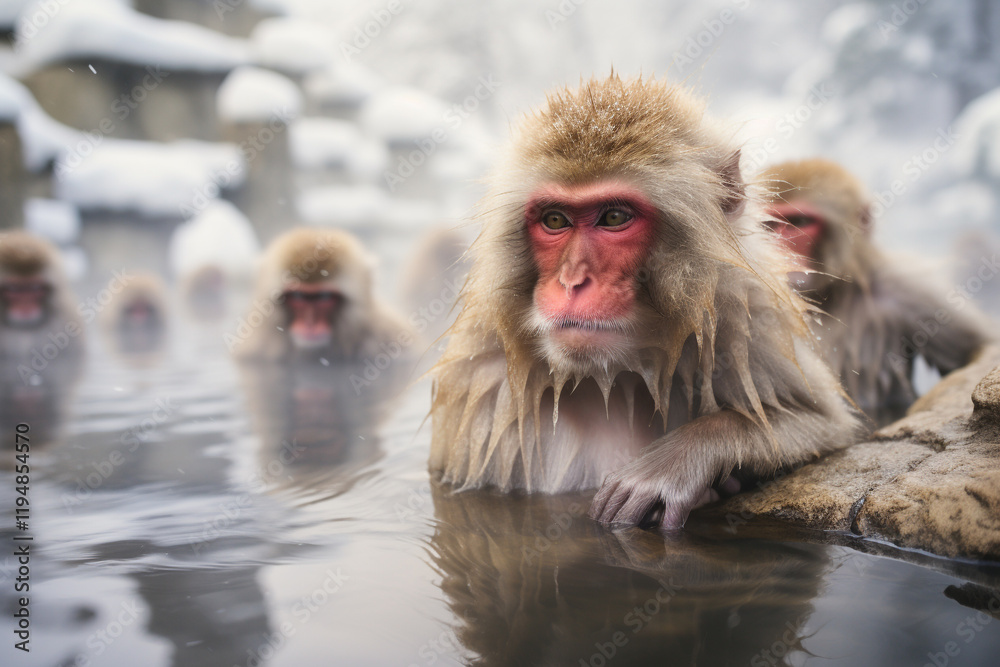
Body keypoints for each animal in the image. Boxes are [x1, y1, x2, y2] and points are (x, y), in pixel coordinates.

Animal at [429, 76, 863, 529]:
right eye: (555, 220)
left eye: (614, 218)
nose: (571, 282)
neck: (618, 371)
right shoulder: (481, 388)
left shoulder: (745, 316)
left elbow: (826, 423)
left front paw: (680, 459)